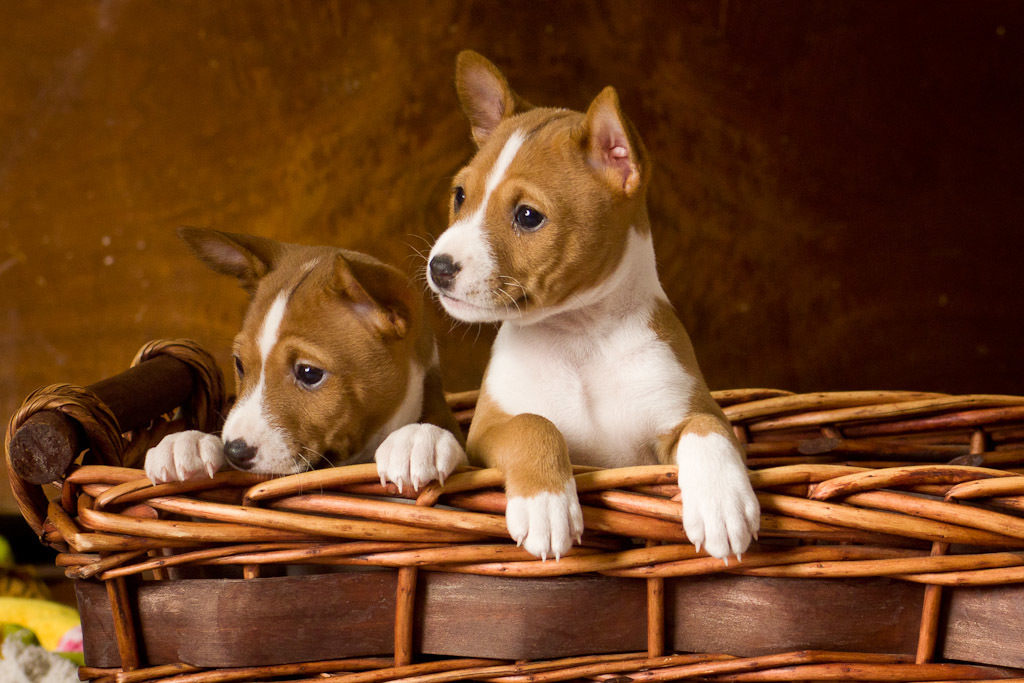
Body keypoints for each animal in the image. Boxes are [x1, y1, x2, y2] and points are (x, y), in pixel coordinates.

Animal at [425, 49, 761, 561]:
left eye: (528, 216)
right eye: (460, 195)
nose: (439, 267)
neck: (580, 337)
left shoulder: (692, 411)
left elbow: (707, 428)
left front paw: (722, 501)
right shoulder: (488, 430)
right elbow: (535, 423)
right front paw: (545, 503)